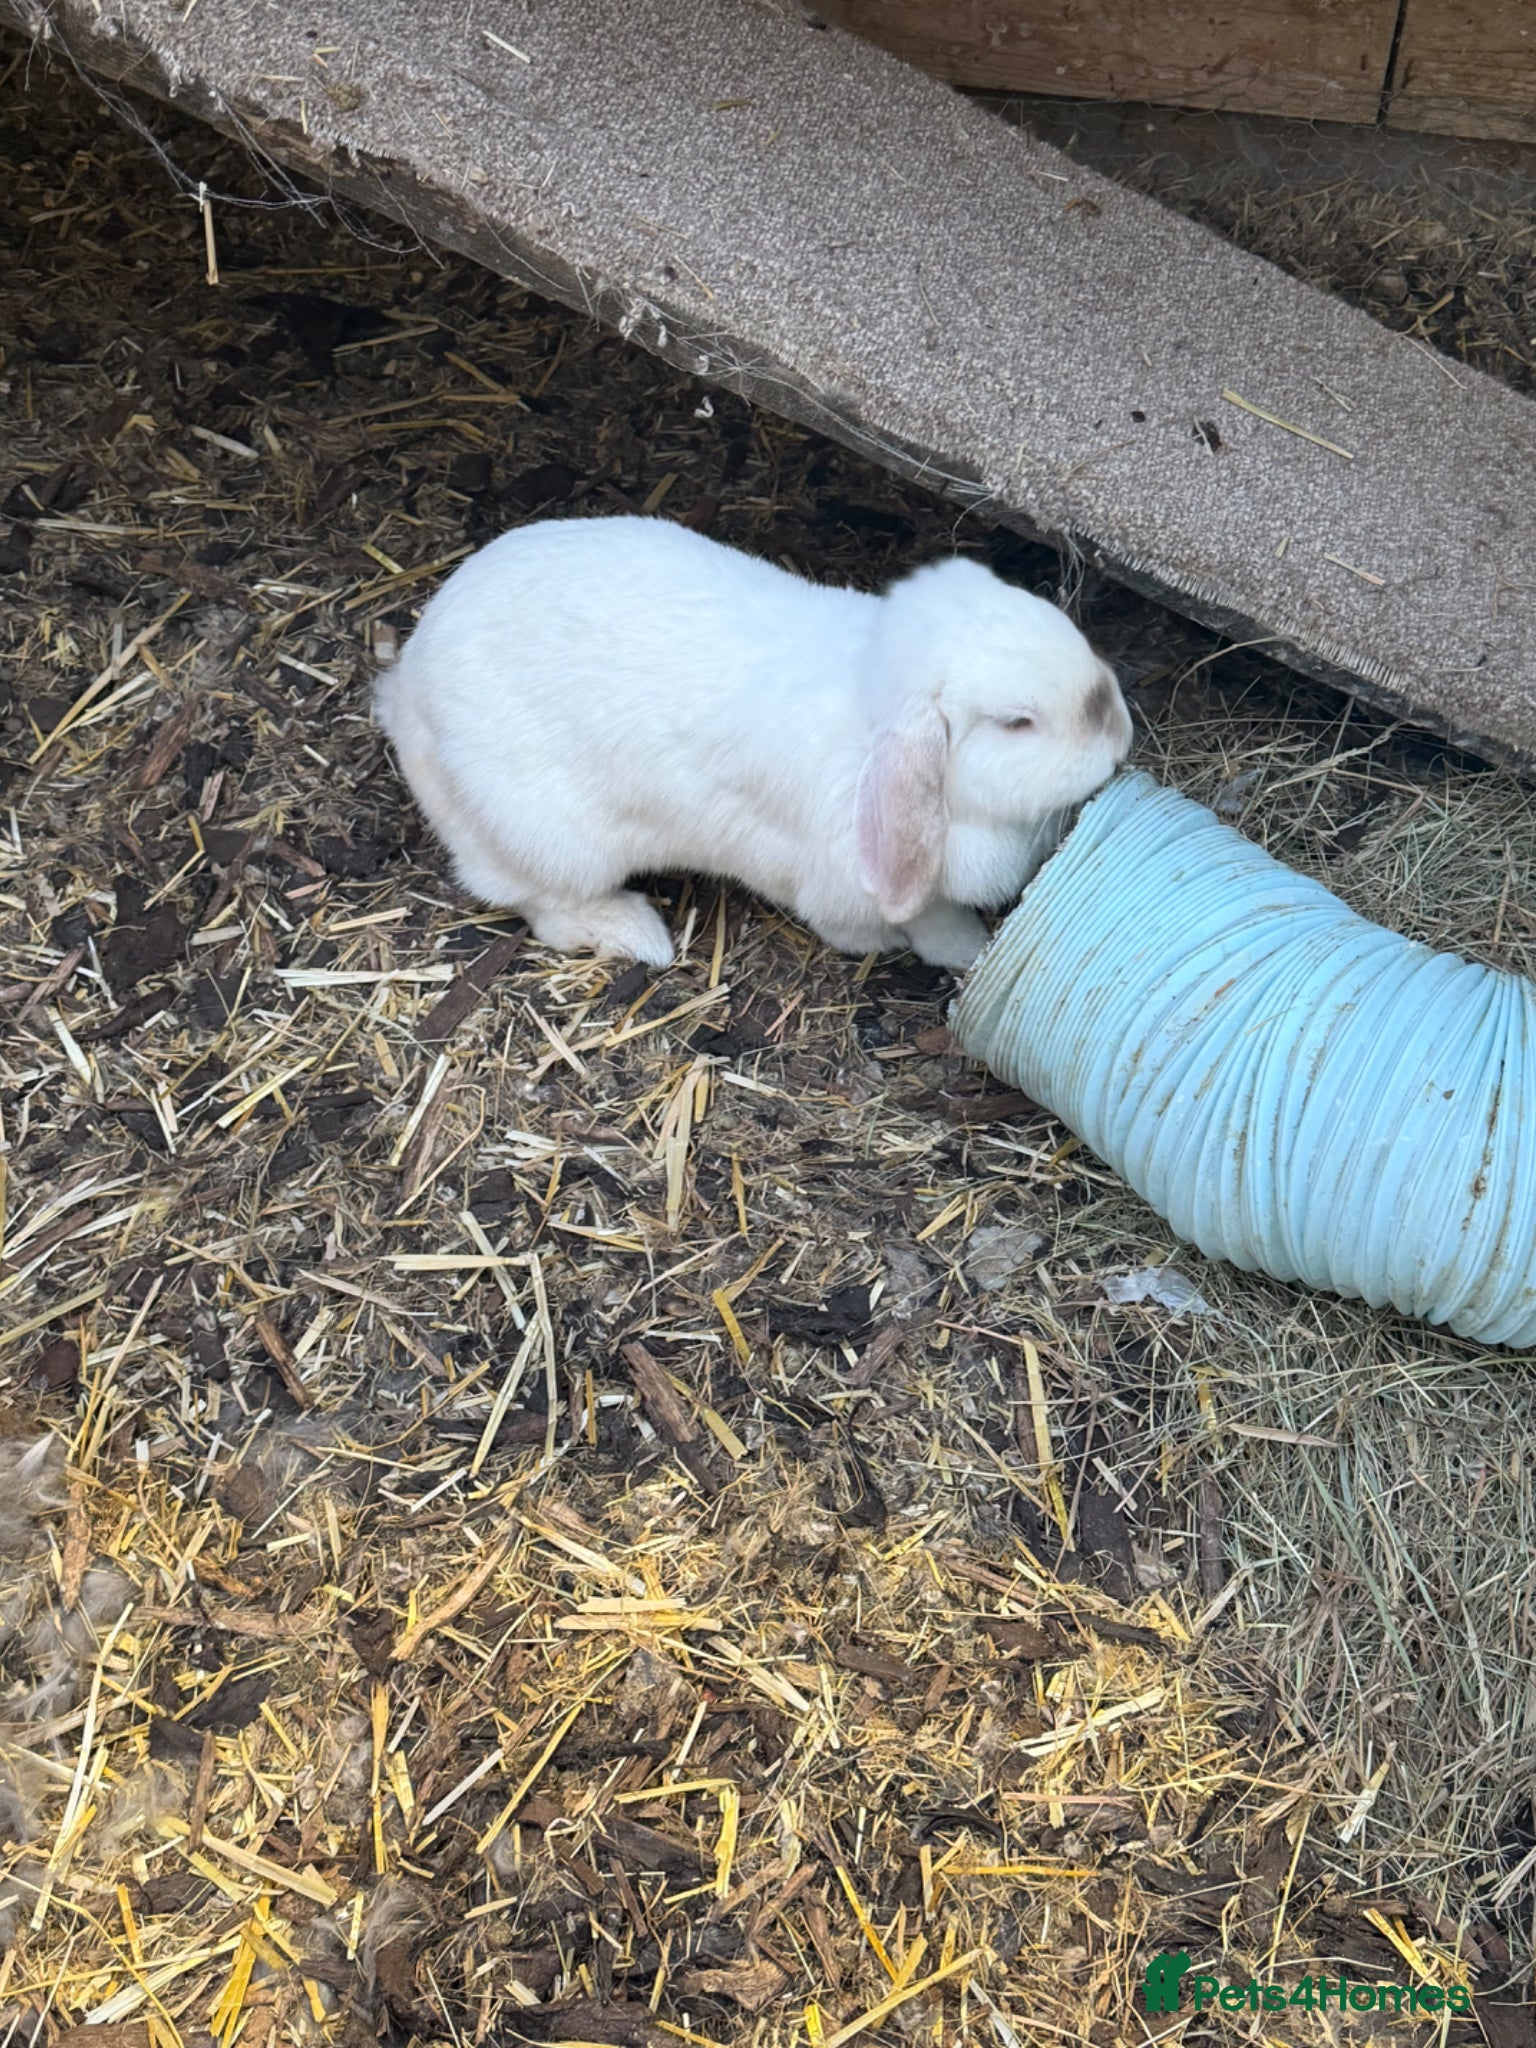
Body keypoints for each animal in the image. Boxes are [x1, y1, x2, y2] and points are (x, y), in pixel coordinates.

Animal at [373, 515, 1132, 972]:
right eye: (1016, 722)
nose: (1120, 731)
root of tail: (405, 692)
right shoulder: (851, 885)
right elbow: (910, 924)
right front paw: (963, 952)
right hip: (552, 842)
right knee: (540, 907)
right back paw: (636, 934)